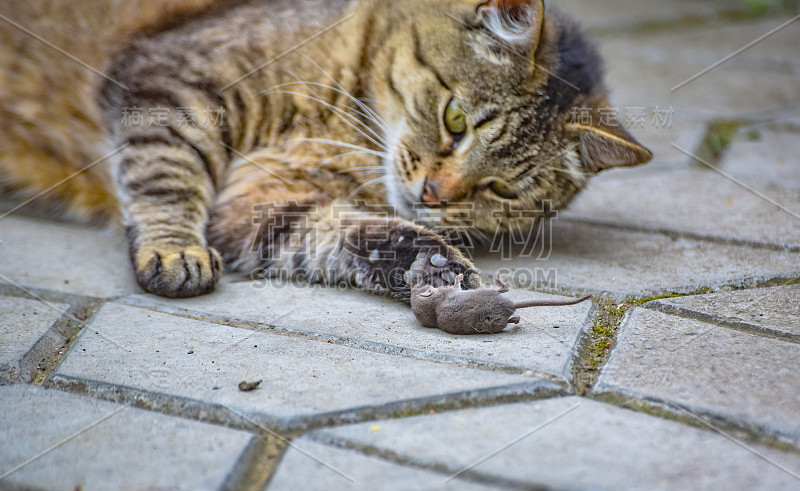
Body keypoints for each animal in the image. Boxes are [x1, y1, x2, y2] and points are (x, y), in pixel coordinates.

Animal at [0, 0, 648, 300]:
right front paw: (173, 248)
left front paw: (433, 263)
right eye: (455, 118)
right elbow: (167, 174)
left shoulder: (258, 203)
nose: (433, 195)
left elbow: (341, 234)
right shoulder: (171, 83)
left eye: (502, 188)